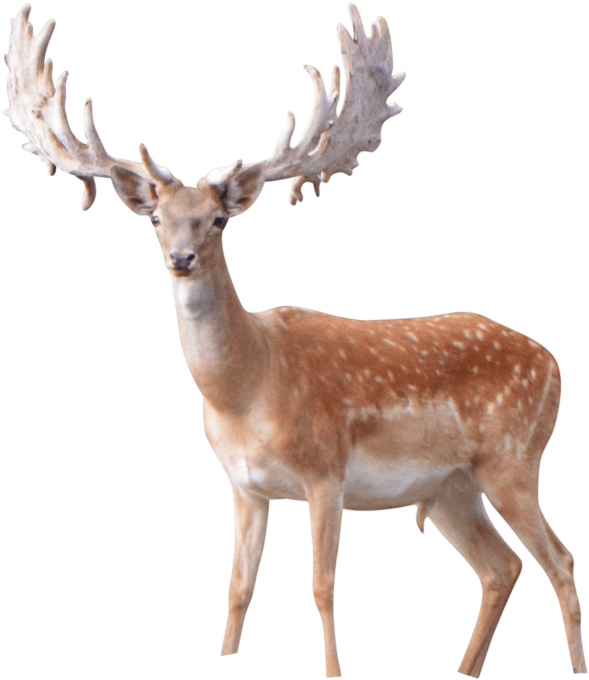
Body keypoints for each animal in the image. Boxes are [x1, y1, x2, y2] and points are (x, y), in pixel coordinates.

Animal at [3, 2, 586, 678]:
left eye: (218, 220)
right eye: (156, 220)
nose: (181, 258)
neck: (249, 388)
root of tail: (553, 362)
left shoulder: (325, 471)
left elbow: (322, 586)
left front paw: (334, 671)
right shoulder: (244, 485)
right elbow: (237, 589)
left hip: (514, 459)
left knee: (559, 559)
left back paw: (576, 666)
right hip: (448, 488)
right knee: (501, 567)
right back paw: (466, 669)